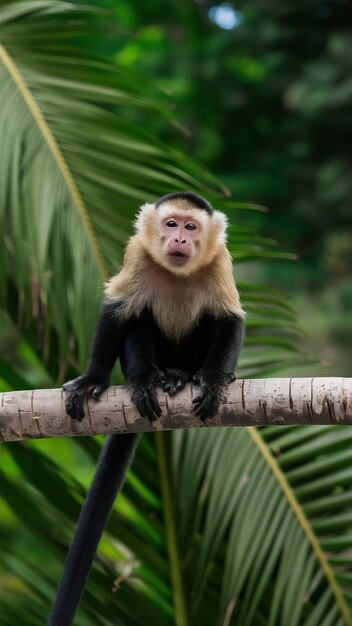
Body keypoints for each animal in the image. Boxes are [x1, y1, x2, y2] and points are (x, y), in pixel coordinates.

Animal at [47, 190, 245, 624]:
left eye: (191, 227)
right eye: (170, 224)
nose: (180, 239)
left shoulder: (220, 260)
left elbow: (229, 320)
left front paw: (215, 380)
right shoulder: (137, 252)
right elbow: (117, 310)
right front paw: (92, 380)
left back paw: (183, 376)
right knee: (138, 316)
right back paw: (150, 379)